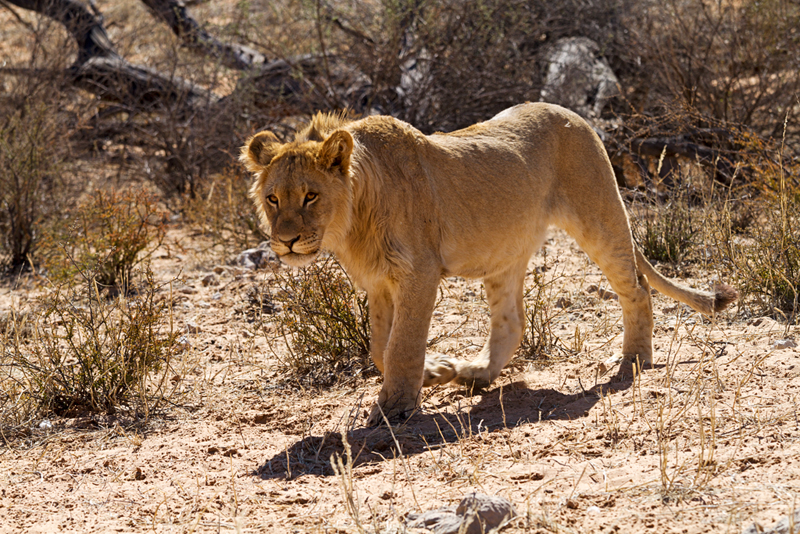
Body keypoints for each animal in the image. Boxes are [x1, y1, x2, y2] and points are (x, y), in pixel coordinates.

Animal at [240, 103, 737, 426]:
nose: (285, 242)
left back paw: (633, 358)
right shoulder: (380, 283)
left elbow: (401, 345)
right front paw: (436, 372)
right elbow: (381, 346)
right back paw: (477, 374)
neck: (352, 221)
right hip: (506, 254)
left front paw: (395, 407)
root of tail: (574, 114)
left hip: (600, 215)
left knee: (636, 285)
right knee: (512, 321)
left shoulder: (419, 273)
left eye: (310, 196)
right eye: (273, 198)